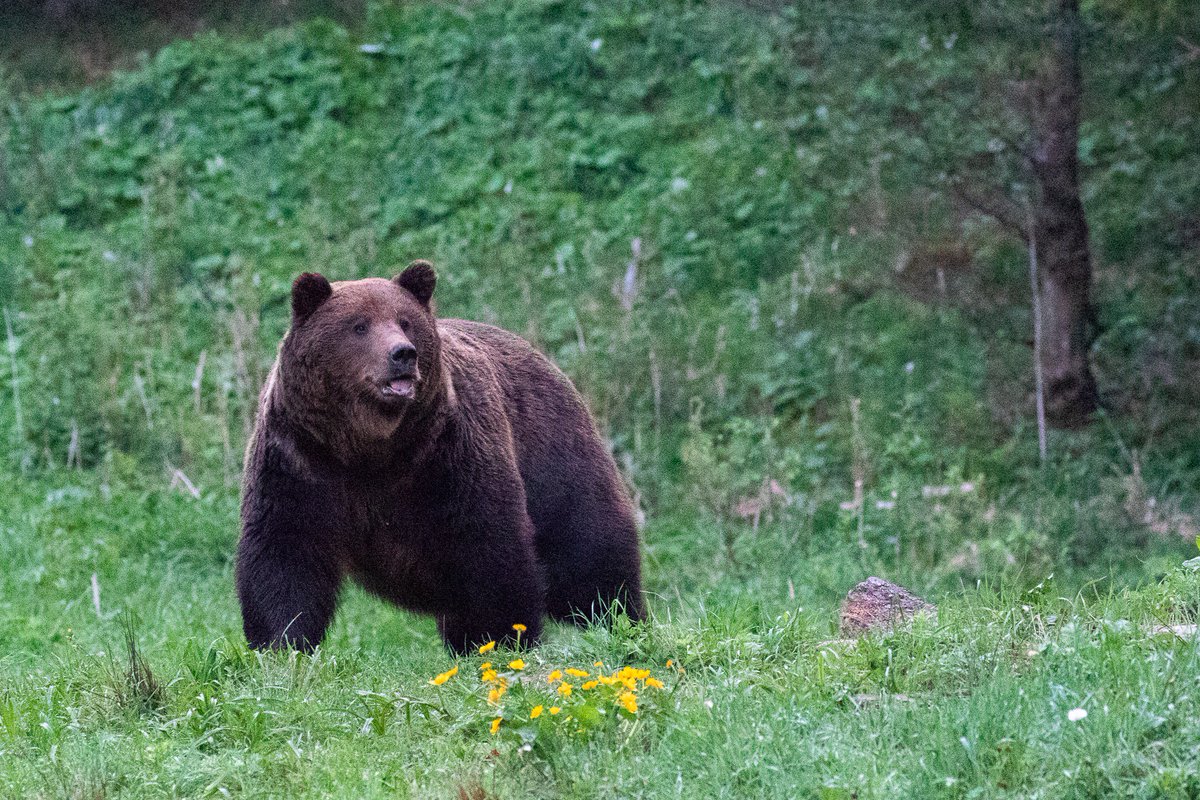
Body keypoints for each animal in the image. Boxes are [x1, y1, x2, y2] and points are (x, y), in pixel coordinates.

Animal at [236, 260, 645, 654]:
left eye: (405, 321)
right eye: (359, 326)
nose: (402, 353)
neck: (367, 449)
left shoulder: (444, 456)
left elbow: (487, 542)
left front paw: (500, 635)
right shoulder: (300, 460)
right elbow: (284, 554)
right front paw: (281, 642)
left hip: (554, 456)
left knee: (587, 552)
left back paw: (620, 617)